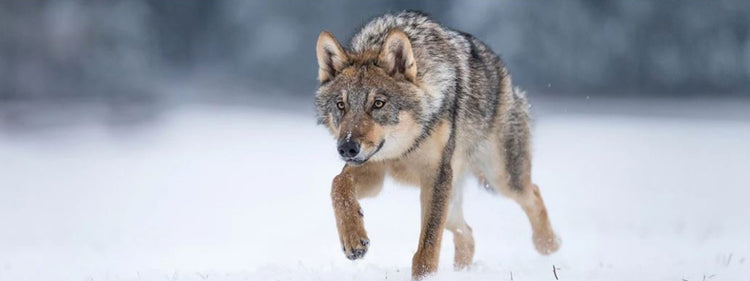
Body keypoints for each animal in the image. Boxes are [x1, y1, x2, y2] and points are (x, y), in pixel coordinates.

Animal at [314, 10, 560, 278]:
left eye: (378, 103)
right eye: (341, 105)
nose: (346, 148)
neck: (406, 148)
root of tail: (506, 78)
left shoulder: (436, 175)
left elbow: (428, 244)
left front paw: (424, 276)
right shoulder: (374, 168)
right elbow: (338, 184)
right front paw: (353, 239)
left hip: (498, 180)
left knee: (533, 193)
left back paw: (549, 244)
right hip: (453, 200)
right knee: (468, 234)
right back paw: (463, 273)